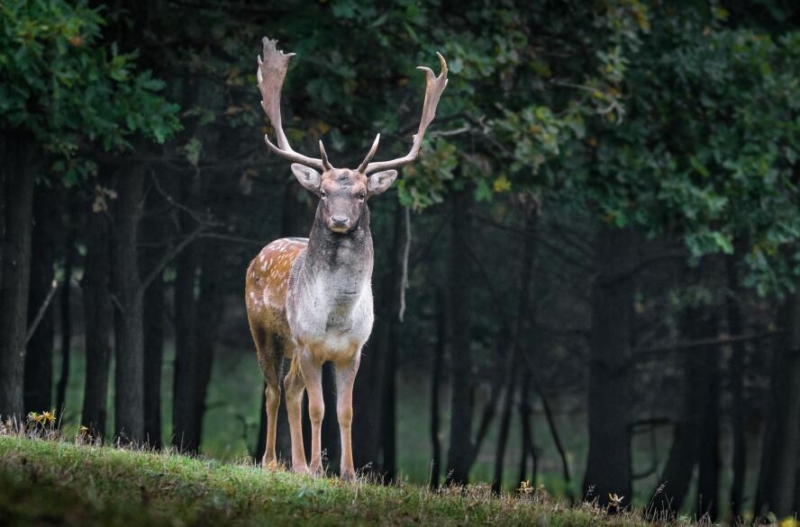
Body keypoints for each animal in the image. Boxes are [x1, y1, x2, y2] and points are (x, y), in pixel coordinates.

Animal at [247, 38, 446, 482]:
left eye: (361, 194)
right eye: (322, 192)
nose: (339, 220)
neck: (336, 316)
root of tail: (260, 253)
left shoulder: (353, 351)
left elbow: (346, 411)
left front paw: (349, 473)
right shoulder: (309, 345)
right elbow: (318, 408)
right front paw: (318, 468)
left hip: (292, 348)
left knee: (290, 388)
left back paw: (296, 464)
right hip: (264, 331)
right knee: (273, 389)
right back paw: (272, 461)